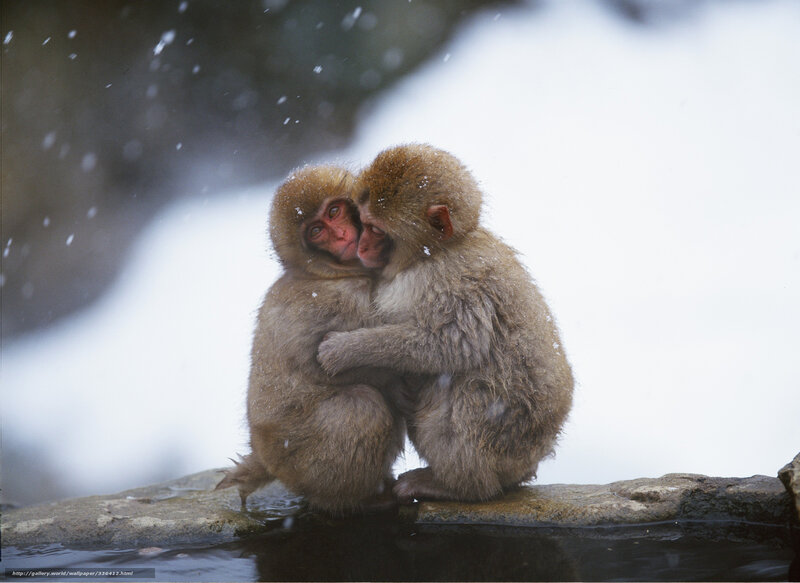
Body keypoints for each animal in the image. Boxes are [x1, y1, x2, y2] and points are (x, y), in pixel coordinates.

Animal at [216, 165, 405, 514]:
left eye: (334, 212)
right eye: (317, 231)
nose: (342, 236)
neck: (326, 273)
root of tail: (264, 457)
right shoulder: (340, 300)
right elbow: (338, 363)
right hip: (301, 458)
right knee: (363, 407)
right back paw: (359, 499)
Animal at [317, 144, 574, 503]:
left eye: (376, 230)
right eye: (362, 223)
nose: (361, 246)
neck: (434, 253)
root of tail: (530, 459)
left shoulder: (452, 282)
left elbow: (453, 345)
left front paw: (346, 350)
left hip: (500, 439)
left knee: (462, 389)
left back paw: (458, 485)